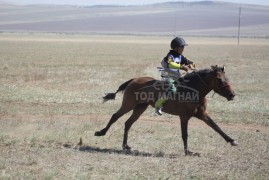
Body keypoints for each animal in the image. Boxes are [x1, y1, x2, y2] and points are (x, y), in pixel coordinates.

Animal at [94, 65, 237, 155]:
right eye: (219, 80)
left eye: (227, 78)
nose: (232, 95)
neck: (194, 90)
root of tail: (134, 80)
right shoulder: (184, 117)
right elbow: (185, 134)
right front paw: (188, 152)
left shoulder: (202, 114)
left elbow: (216, 127)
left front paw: (232, 140)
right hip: (128, 104)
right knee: (115, 116)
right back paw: (101, 132)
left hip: (140, 107)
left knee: (128, 123)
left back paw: (125, 146)